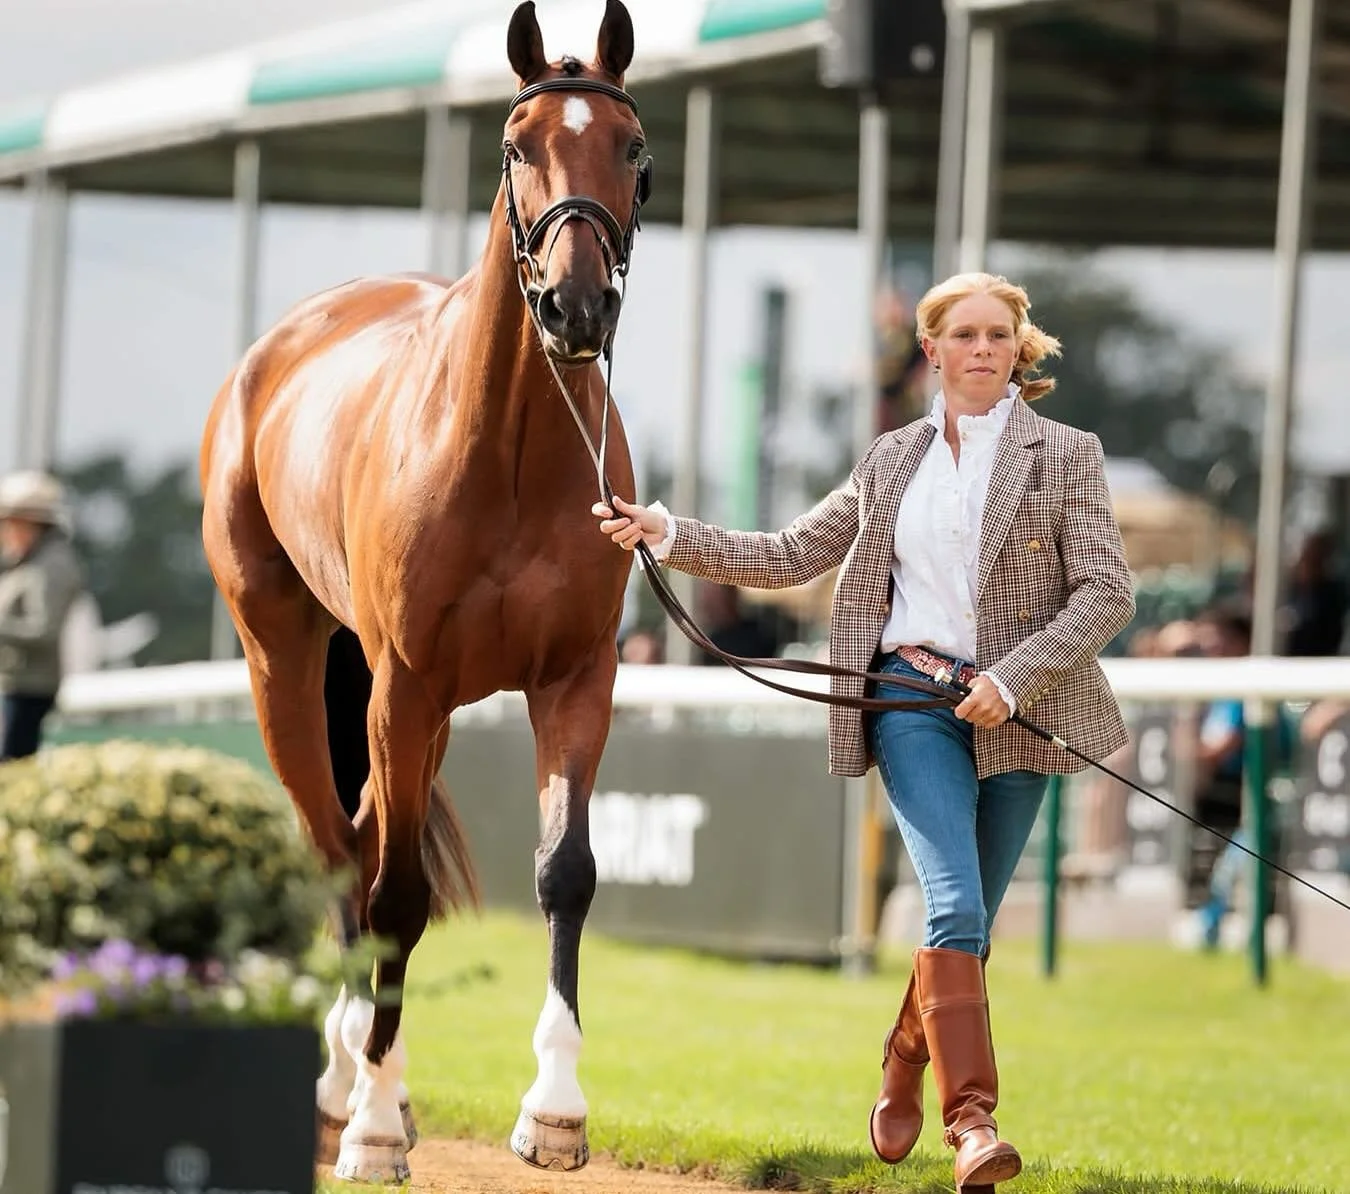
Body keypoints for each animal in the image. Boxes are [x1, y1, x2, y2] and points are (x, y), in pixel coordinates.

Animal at [199, 0, 650, 1182]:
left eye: (631, 148)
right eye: (517, 145)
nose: (576, 306)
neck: (513, 451)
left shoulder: (575, 680)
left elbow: (566, 874)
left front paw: (555, 1111)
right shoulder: (400, 683)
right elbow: (394, 893)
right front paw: (366, 1129)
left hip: (425, 710)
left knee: (362, 837)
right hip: (291, 666)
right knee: (340, 853)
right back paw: (348, 1088)